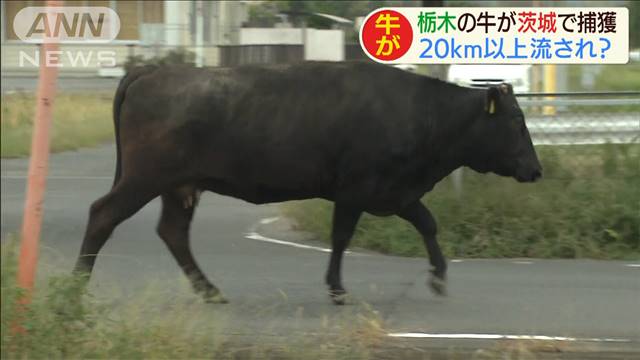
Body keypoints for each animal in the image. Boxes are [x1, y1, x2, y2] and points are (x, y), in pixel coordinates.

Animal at [72, 61, 544, 304]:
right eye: (517, 121)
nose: (536, 169)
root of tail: (153, 71)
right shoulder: (359, 189)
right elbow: (342, 237)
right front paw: (337, 289)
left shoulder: (394, 193)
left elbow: (427, 223)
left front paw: (440, 276)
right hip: (145, 178)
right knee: (102, 215)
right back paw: (75, 286)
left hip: (180, 186)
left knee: (172, 232)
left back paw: (211, 291)